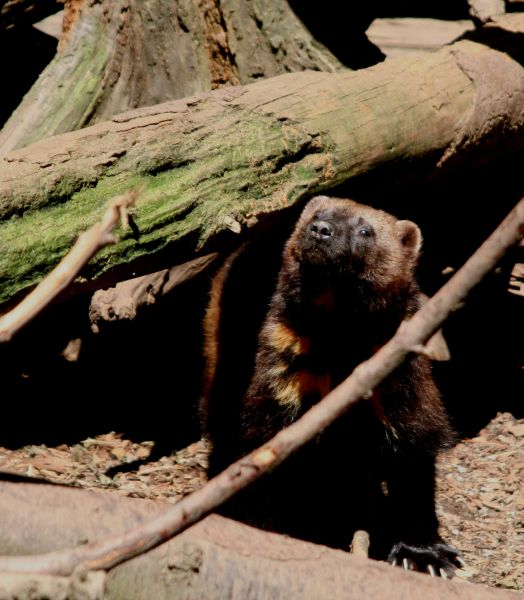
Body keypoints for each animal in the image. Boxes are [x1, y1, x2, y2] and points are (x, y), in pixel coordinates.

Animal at [201, 195, 463, 577]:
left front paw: (425, 554)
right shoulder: (279, 379)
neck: (340, 346)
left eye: (365, 230)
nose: (321, 230)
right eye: (315, 215)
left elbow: (414, 474)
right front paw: (259, 527)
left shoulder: (405, 391)